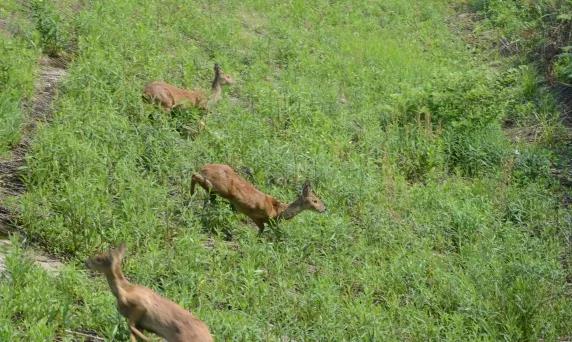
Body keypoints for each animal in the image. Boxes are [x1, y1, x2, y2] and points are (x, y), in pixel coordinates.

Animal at [190, 162, 326, 232]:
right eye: (315, 200)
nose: (324, 209)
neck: (278, 211)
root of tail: (205, 167)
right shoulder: (257, 217)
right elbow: (261, 232)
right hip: (221, 188)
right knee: (195, 176)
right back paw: (191, 196)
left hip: (217, 190)